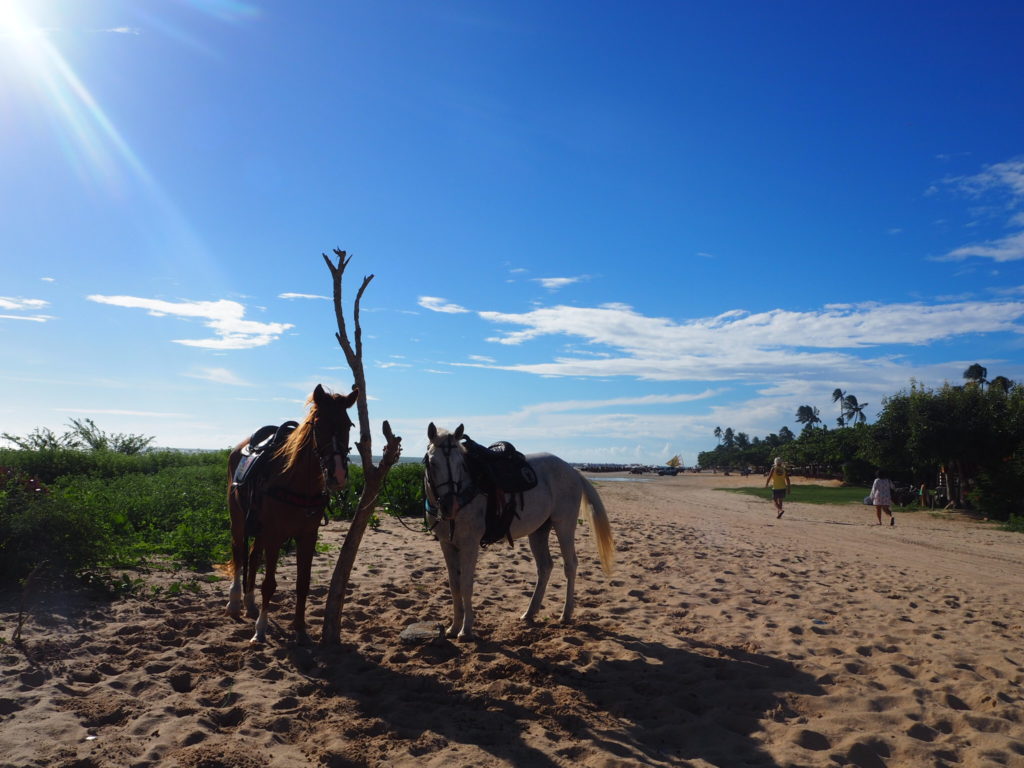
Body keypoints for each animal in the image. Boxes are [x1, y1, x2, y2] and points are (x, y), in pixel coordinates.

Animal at [226, 385, 358, 643]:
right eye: (318, 424)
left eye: (348, 425)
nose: (337, 475)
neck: (297, 482)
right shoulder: (275, 535)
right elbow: (269, 584)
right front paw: (260, 629)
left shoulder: (307, 535)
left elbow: (303, 582)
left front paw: (300, 627)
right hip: (238, 521)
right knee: (238, 553)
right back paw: (235, 603)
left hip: (258, 527)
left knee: (253, 558)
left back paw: (250, 604)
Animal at [421, 423, 610, 638]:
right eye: (432, 463)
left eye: (460, 464)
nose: (449, 507)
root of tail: (573, 470)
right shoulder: (447, 544)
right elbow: (454, 586)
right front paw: (454, 627)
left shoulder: (469, 544)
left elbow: (466, 585)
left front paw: (466, 629)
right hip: (539, 531)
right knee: (545, 567)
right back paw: (530, 613)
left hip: (564, 525)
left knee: (570, 565)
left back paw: (566, 614)